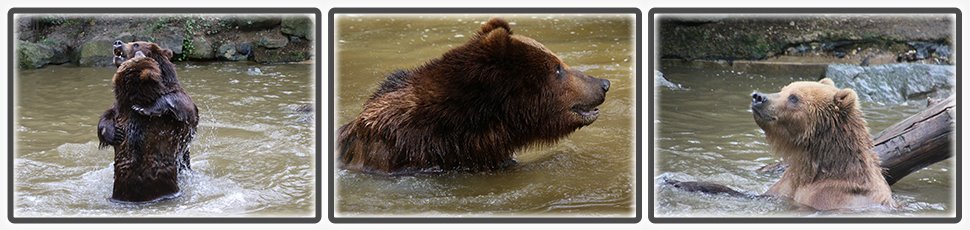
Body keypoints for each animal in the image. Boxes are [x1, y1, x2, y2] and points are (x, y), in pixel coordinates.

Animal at [96, 40, 199, 202]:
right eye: (132, 42)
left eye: (136, 44)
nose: (118, 42)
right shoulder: (118, 107)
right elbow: (106, 117)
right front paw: (114, 133)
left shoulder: (180, 100)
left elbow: (185, 106)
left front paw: (146, 108)